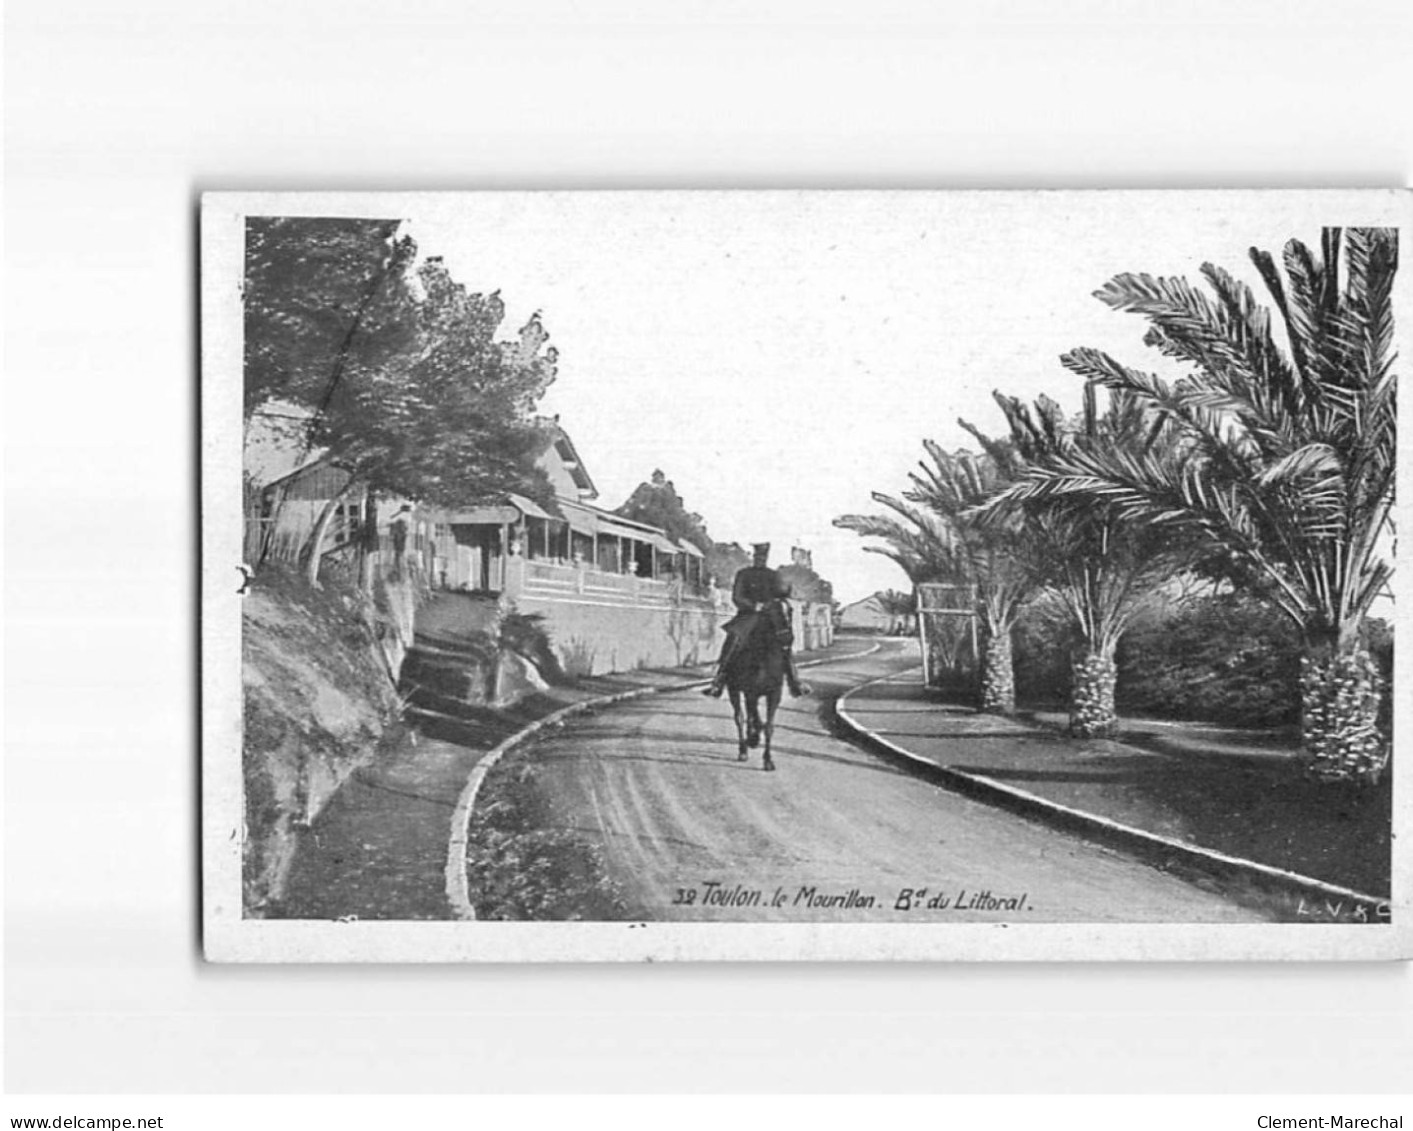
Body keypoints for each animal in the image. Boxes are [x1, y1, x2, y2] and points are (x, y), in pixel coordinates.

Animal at [723, 599, 791, 769]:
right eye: (773, 613)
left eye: (790, 610)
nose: (788, 638)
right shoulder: (750, 692)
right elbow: (753, 719)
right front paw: (753, 739)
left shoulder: (774, 694)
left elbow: (768, 726)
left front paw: (768, 759)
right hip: (734, 690)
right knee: (740, 718)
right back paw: (743, 749)